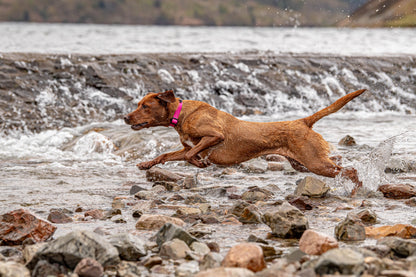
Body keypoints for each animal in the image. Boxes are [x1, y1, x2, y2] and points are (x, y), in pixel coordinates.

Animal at [125, 89, 366, 193]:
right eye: (138, 104)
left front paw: (199, 163)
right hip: (304, 163)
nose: (125, 117)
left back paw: (358, 188)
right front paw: (146, 164)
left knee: (350, 170)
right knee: (340, 163)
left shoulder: (214, 136)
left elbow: (191, 154)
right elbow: (166, 155)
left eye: (145, 106)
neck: (181, 115)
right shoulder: (187, 146)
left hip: (315, 163)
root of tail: (303, 121)